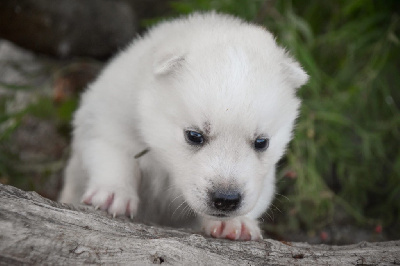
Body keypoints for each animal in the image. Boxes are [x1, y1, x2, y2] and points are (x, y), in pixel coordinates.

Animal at [59, 11, 308, 241]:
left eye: (261, 142)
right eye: (194, 136)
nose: (226, 200)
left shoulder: (265, 175)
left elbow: (261, 192)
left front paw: (235, 223)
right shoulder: (107, 118)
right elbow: (114, 154)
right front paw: (113, 195)